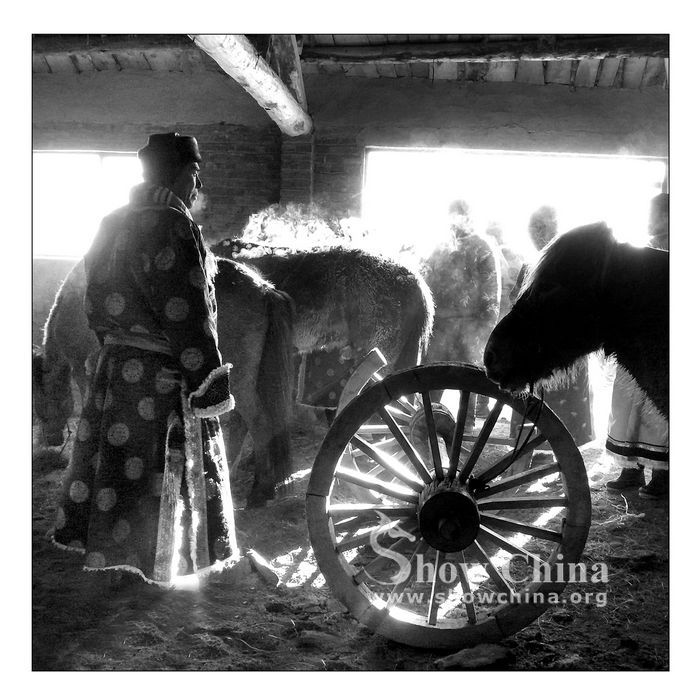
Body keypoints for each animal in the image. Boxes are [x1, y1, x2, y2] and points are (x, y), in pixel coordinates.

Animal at [33, 254, 296, 506]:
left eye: (37, 402)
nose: (51, 438)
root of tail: (264, 289)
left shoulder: (86, 371)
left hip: (239, 381)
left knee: (259, 424)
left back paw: (258, 492)